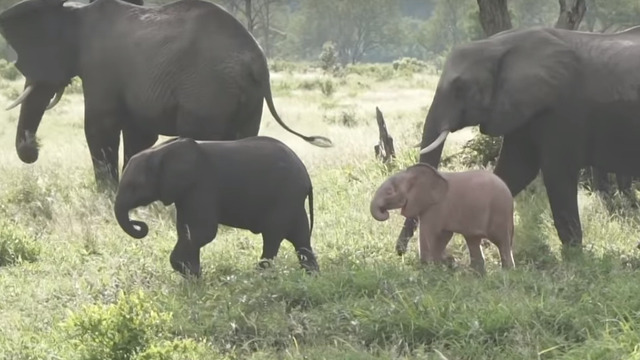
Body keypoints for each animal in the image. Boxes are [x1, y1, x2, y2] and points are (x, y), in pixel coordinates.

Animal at [0, 0, 332, 188]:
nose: (33, 148)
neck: (74, 11)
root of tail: (257, 60)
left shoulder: (100, 68)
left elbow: (98, 128)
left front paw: (106, 194)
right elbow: (138, 134)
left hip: (207, 91)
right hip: (249, 97)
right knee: (244, 138)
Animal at [115, 136, 320, 278]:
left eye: (134, 186)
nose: (140, 225)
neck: (161, 151)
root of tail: (307, 178)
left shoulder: (201, 186)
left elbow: (203, 232)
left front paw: (187, 271)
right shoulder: (185, 193)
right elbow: (186, 230)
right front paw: (193, 275)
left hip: (285, 198)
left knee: (272, 237)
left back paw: (260, 274)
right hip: (293, 202)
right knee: (301, 239)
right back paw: (312, 277)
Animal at [370, 163, 516, 272]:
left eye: (389, 192)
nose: (385, 212)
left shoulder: (435, 208)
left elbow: (430, 233)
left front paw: (429, 268)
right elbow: (444, 235)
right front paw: (447, 263)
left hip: (499, 211)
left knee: (501, 241)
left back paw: (506, 272)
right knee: (473, 240)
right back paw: (476, 275)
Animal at [396, 25, 640, 255]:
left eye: (460, 87)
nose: (400, 252)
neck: (497, 45)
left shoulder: (562, 111)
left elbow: (557, 172)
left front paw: (574, 256)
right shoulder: (522, 109)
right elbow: (515, 170)